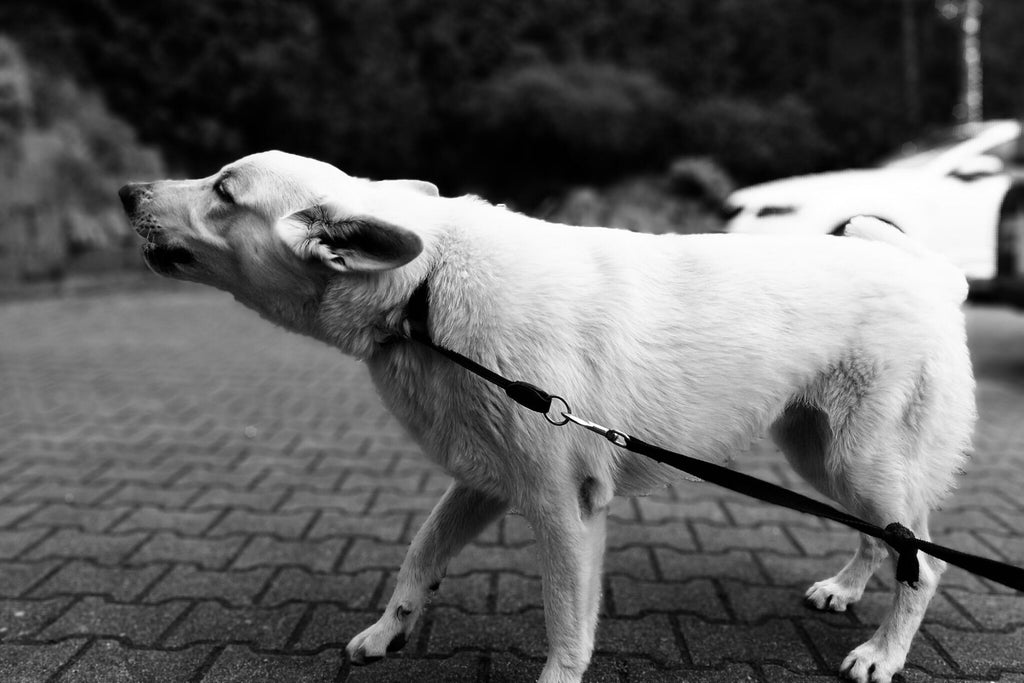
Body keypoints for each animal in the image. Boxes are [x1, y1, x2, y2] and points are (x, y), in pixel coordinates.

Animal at [119, 152, 974, 683]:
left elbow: (567, 623)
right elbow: (419, 557)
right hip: (819, 451)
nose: (126, 193)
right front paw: (391, 630)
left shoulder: (563, 505)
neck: (424, 288)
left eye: (225, 191)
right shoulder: (484, 480)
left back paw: (882, 652)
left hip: (855, 459)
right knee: (890, 537)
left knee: (924, 562)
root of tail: (934, 273)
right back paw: (846, 589)